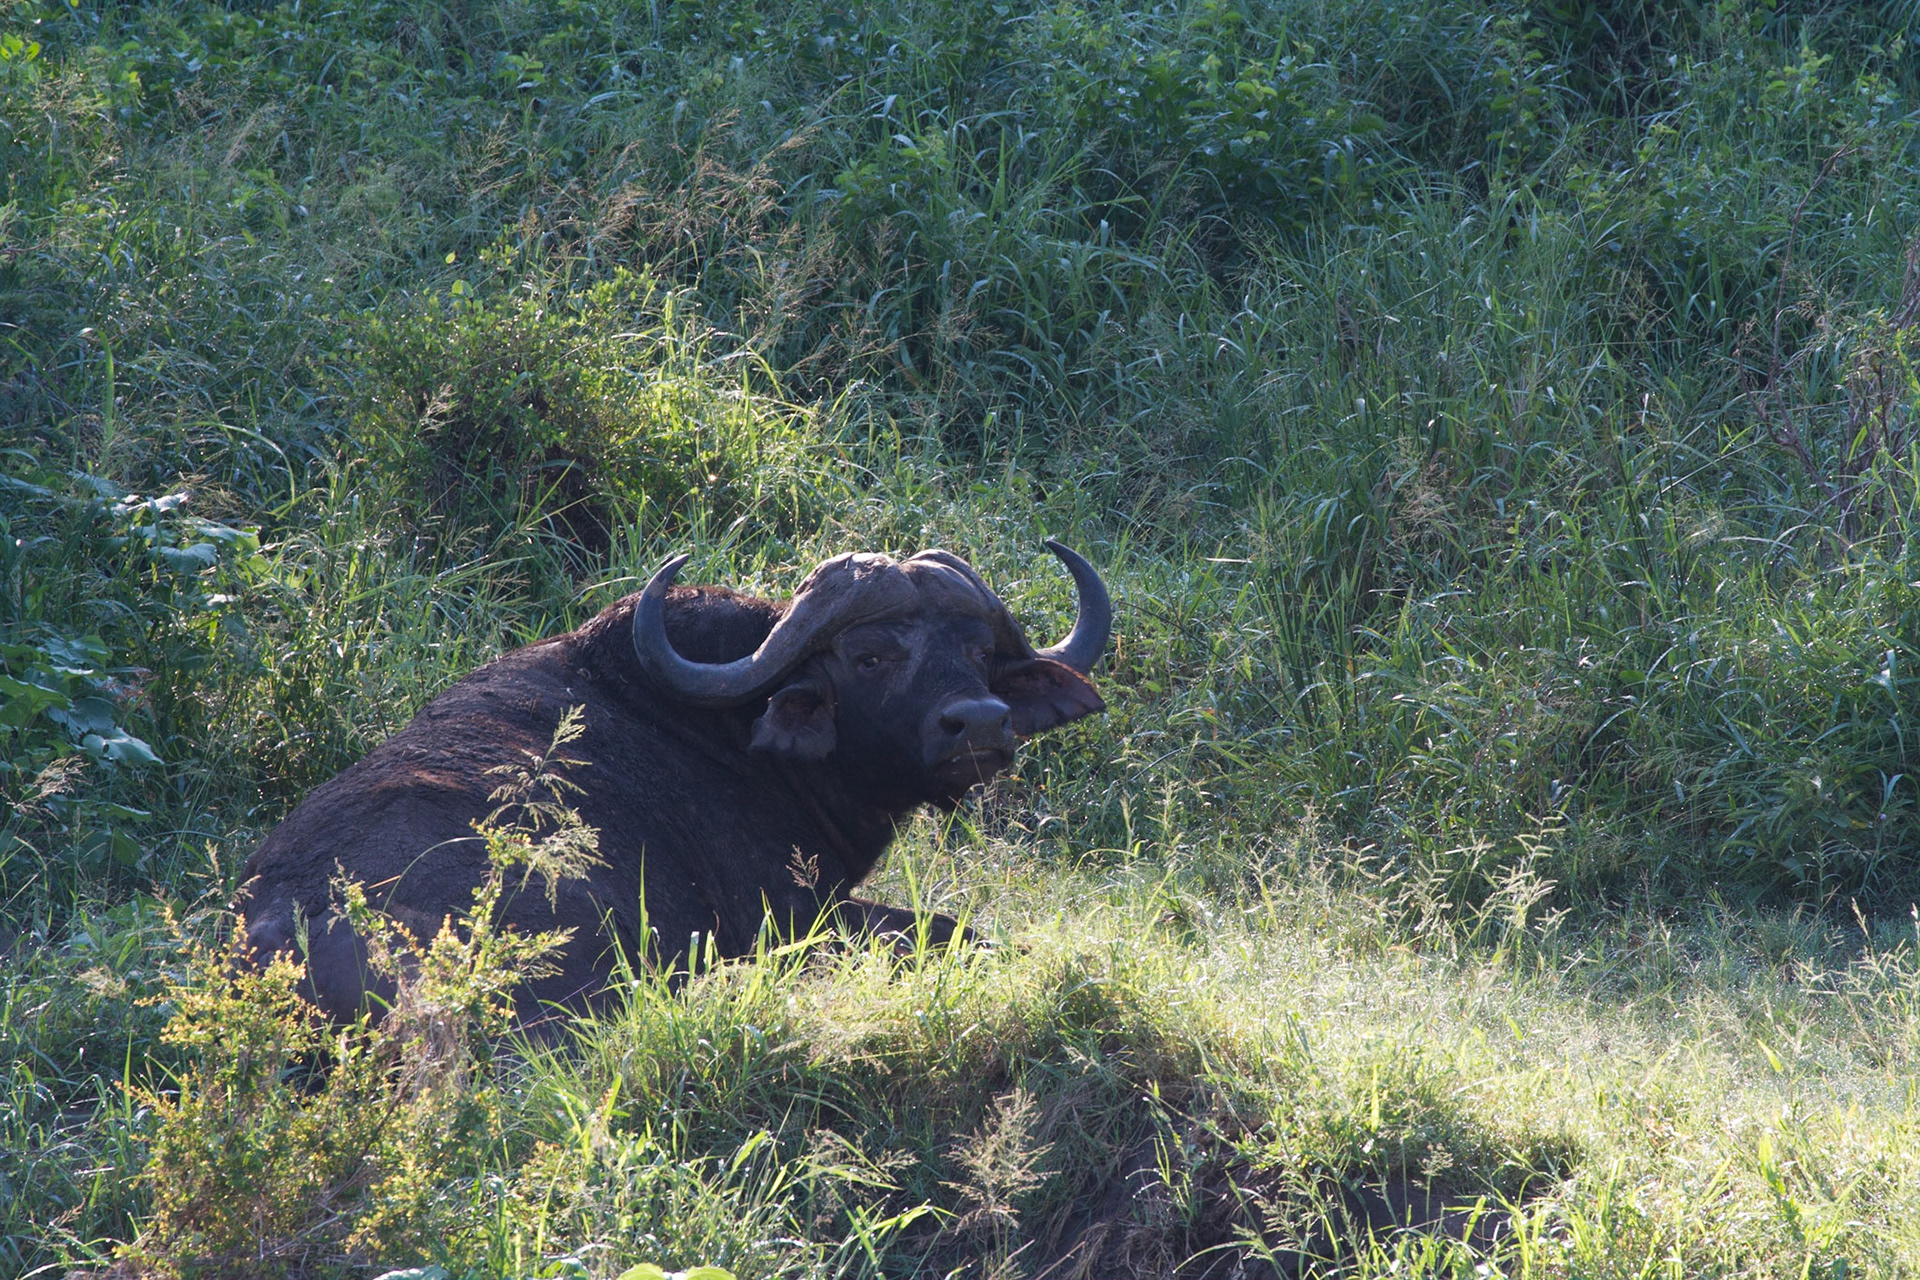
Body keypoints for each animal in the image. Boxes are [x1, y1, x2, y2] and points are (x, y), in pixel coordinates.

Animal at [234, 541, 1110, 1020]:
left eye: (979, 651)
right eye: (869, 656)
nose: (982, 723)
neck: (738, 733)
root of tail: (278, 931)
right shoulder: (798, 916)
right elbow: (961, 930)